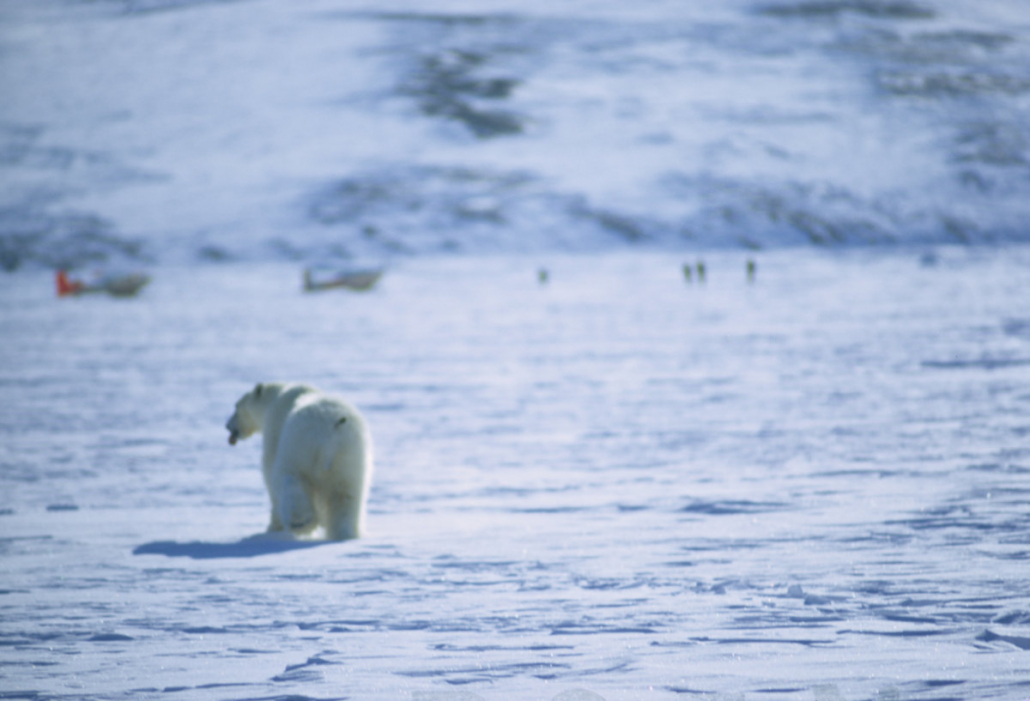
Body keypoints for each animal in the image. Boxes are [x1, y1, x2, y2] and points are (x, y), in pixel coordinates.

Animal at [225, 382, 374, 539]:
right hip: (350, 457)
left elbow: (270, 476)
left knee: (291, 479)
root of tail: (331, 431)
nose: (227, 425)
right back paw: (345, 533)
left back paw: (300, 522)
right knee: (347, 495)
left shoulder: (274, 429)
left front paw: (272, 528)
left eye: (236, 407)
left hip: (299, 450)